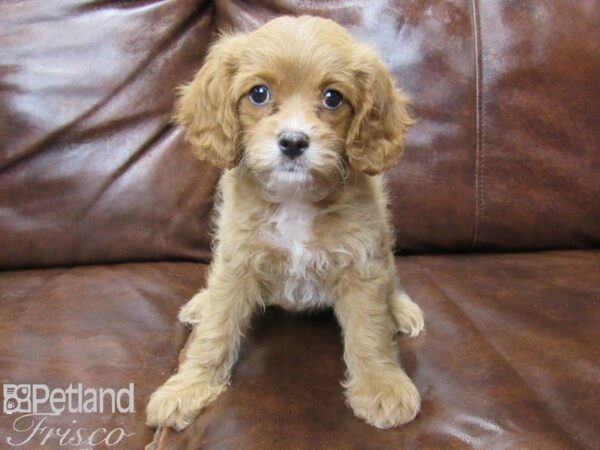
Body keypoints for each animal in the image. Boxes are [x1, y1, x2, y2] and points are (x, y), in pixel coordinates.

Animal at [146, 13, 424, 428]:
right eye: (259, 94)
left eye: (332, 98)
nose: (293, 142)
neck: (296, 198)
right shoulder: (237, 261)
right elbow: (216, 330)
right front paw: (190, 386)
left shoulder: (362, 263)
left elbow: (370, 332)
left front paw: (381, 385)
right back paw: (201, 303)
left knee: (391, 282)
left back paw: (401, 308)